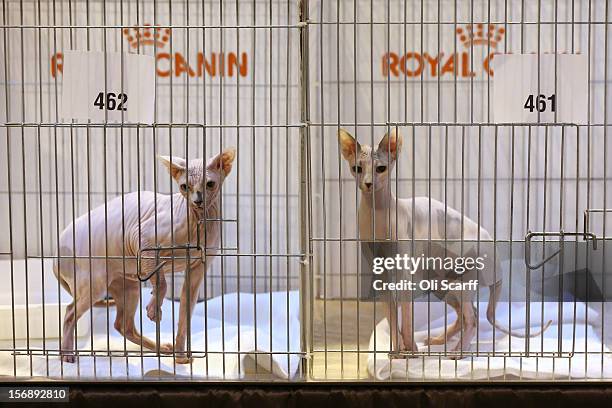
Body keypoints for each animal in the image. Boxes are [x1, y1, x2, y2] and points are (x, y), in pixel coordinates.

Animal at [53, 149, 235, 364]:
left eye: (210, 184)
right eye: (185, 187)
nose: (197, 201)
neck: (199, 221)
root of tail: (56, 255)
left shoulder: (198, 269)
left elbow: (185, 314)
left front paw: (181, 357)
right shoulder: (144, 241)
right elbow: (162, 283)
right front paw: (154, 308)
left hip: (128, 285)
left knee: (123, 326)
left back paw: (161, 348)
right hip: (94, 283)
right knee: (70, 312)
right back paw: (66, 354)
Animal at [338, 130, 552, 356]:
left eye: (381, 168)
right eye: (358, 169)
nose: (368, 183)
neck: (377, 214)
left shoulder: (406, 275)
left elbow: (406, 319)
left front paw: (411, 351)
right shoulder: (381, 277)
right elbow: (393, 320)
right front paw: (396, 352)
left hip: (464, 280)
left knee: (472, 318)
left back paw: (458, 352)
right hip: (442, 284)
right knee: (466, 314)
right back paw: (440, 340)